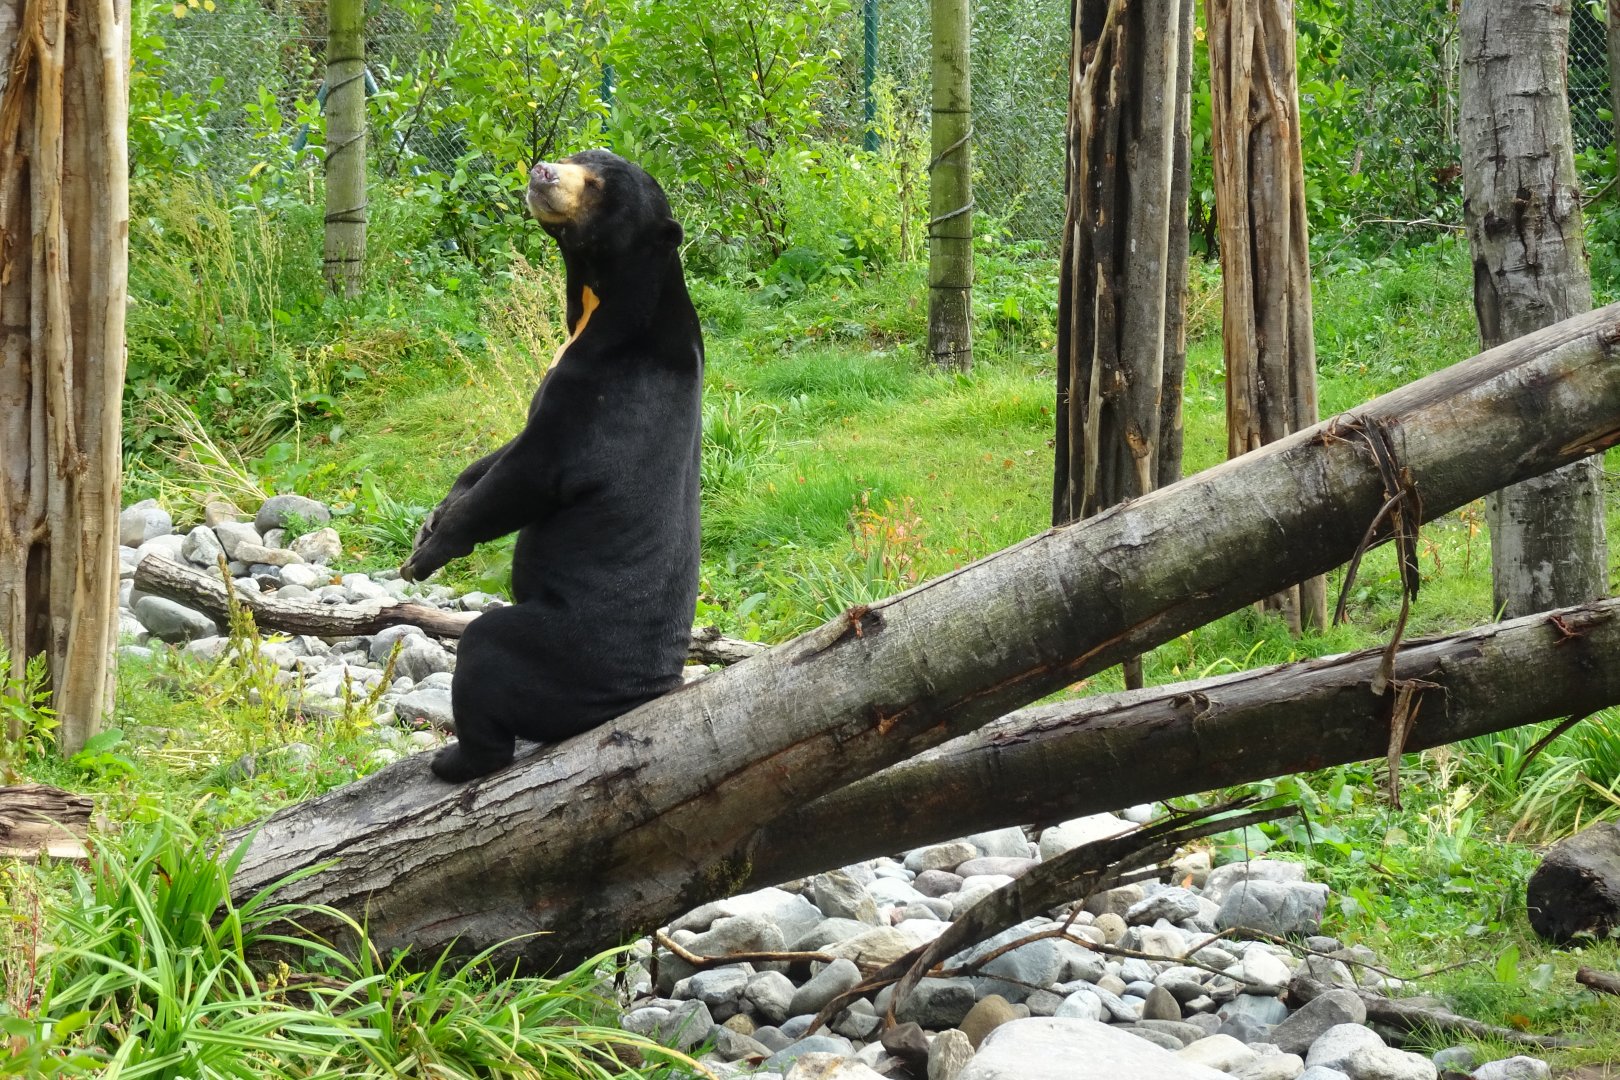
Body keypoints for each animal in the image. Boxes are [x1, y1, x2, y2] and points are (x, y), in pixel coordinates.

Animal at [399, 149, 703, 783]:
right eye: (584, 154)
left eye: (601, 185)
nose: (541, 172)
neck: (601, 306)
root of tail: (636, 697)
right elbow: (496, 456)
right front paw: (432, 519)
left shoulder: (598, 397)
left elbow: (527, 476)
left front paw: (428, 554)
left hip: (553, 649)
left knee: (483, 652)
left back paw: (452, 761)